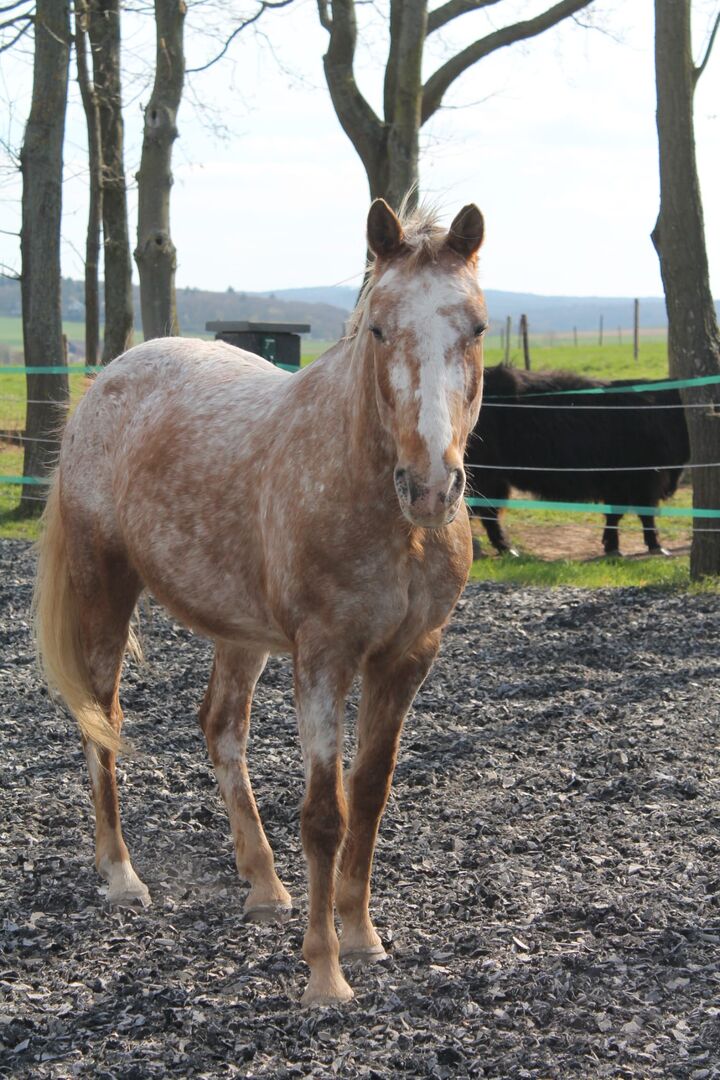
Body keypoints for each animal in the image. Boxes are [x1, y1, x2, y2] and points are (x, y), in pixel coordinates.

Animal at [33, 199, 487, 1006]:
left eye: (476, 328)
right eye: (378, 329)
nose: (432, 486)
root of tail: (106, 381)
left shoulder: (407, 657)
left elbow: (370, 794)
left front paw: (361, 936)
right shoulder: (324, 658)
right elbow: (325, 813)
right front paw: (325, 973)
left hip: (240, 634)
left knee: (220, 728)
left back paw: (265, 885)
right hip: (104, 590)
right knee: (101, 720)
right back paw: (121, 876)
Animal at [467, 365, 689, 557]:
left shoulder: (625, 482)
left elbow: (616, 514)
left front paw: (612, 547)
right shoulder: (643, 479)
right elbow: (642, 514)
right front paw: (654, 546)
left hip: (494, 479)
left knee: (488, 513)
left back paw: (507, 549)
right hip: (481, 475)